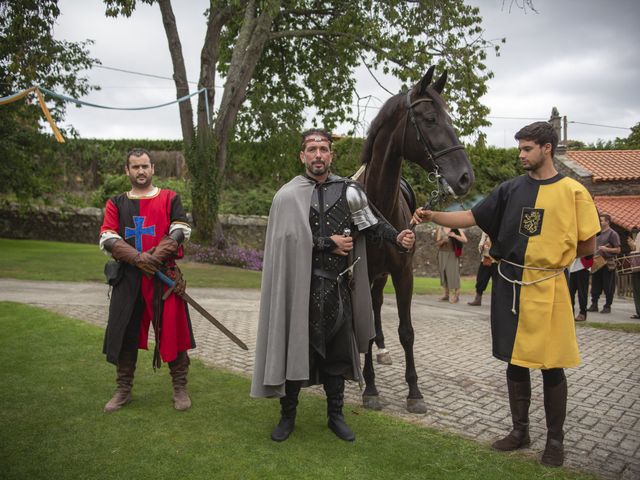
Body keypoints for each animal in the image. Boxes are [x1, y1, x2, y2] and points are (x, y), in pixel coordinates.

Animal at [360, 66, 476, 412]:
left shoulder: (403, 273)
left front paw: (414, 392)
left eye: (450, 117)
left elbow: (407, 331)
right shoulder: (363, 273)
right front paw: (370, 388)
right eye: (430, 119)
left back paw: (381, 352)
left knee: (376, 306)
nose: (465, 177)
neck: (380, 206)